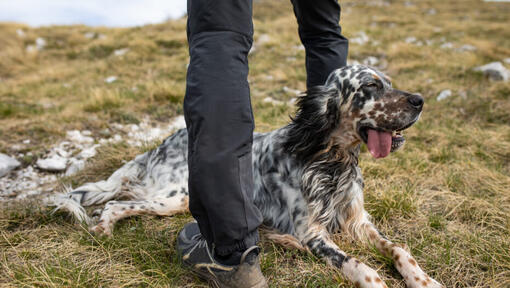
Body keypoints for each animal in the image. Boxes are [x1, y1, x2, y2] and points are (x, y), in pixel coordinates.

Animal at [50, 65, 442, 288]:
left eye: (388, 82)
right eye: (370, 87)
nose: (420, 100)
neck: (328, 159)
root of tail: (164, 141)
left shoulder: (358, 221)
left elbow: (399, 249)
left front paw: (425, 280)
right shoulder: (313, 233)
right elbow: (360, 265)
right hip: (175, 198)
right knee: (114, 204)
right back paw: (103, 228)